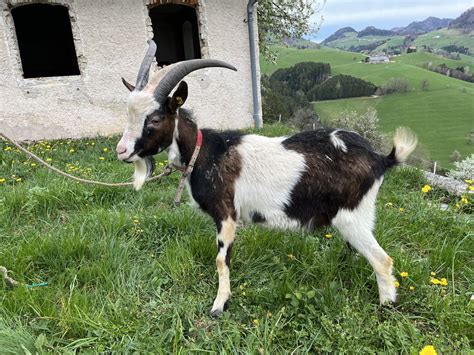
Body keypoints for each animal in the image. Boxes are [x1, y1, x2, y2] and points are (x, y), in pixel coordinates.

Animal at [116, 41, 416, 318]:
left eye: (154, 119)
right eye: (128, 113)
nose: (122, 151)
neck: (205, 153)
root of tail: (380, 159)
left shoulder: (226, 214)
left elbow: (221, 260)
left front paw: (219, 305)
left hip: (352, 215)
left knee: (382, 260)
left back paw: (386, 306)